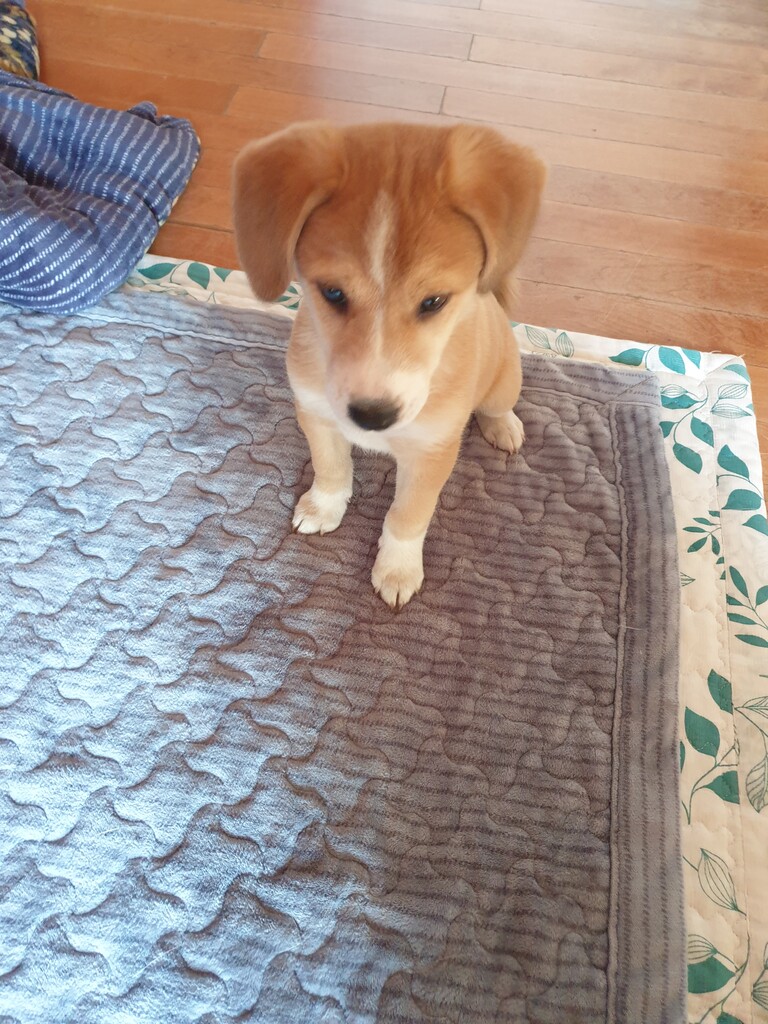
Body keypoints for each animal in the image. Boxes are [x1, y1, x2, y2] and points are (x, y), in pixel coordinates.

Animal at [233, 121, 545, 608]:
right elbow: (331, 469)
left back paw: (504, 427)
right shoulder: (316, 416)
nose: (372, 416)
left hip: (504, 381)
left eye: (433, 302)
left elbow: (407, 516)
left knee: (498, 407)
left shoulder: (432, 453)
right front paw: (324, 507)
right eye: (333, 293)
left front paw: (397, 569)